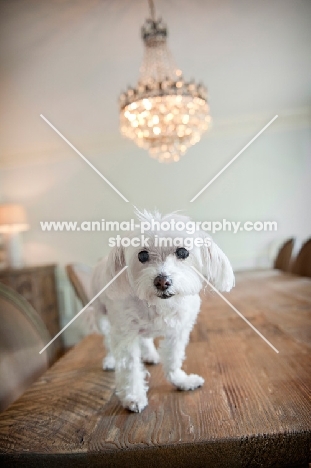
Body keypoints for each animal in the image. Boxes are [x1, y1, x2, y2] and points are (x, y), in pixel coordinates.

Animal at [91, 211, 235, 414]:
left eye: (183, 252)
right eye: (142, 255)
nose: (162, 281)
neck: (159, 305)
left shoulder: (178, 332)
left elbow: (173, 359)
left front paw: (181, 381)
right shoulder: (125, 335)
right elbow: (130, 369)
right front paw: (133, 397)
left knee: (145, 339)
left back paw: (150, 354)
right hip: (101, 317)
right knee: (107, 340)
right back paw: (111, 359)